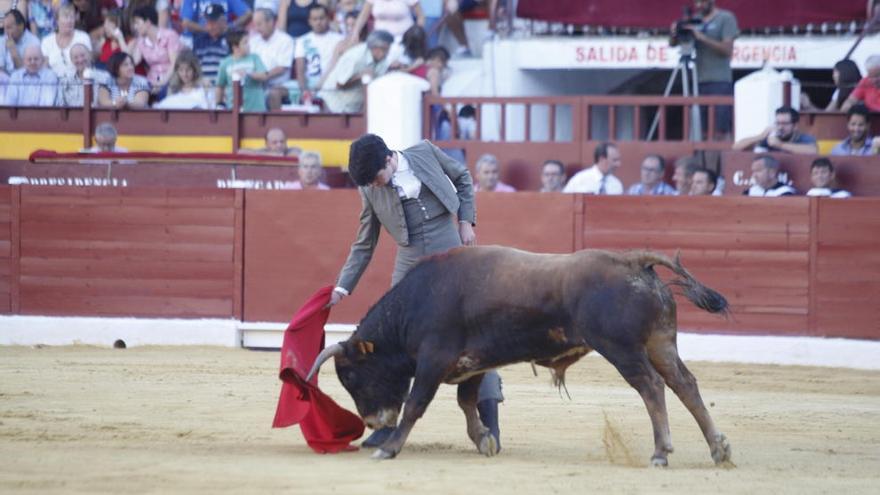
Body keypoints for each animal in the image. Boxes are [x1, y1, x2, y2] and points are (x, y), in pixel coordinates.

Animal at [306, 246, 732, 466]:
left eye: (353, 376)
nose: (372, 421)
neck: (416, 302)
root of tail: (634, 261)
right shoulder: (471, 363)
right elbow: (467, 402)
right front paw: (484, 441)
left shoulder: (433, 360)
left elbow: (415, 405)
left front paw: (389, 447)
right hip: (660, 343)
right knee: (685, 384)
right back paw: (718, 448)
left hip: (622, 349)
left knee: (652, 387)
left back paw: (661, 452)